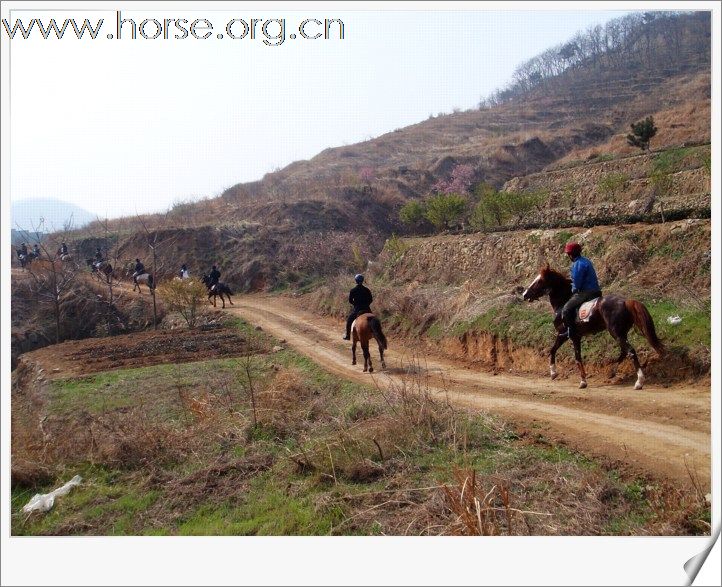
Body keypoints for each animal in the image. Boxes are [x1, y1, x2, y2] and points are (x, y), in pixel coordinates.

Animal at [520, 266, 660, 390]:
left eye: (539, 281)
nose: (524, 294)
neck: (562, 303)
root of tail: (625, 301)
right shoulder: (569, 336)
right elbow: (556, 351)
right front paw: (555, 373)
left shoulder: (568, 335)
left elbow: (573, 356)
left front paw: (581, 381)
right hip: (621, 333)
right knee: (624, 352)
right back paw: (612, 372)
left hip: (616, 333)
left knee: (630, 351)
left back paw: (639, 382)